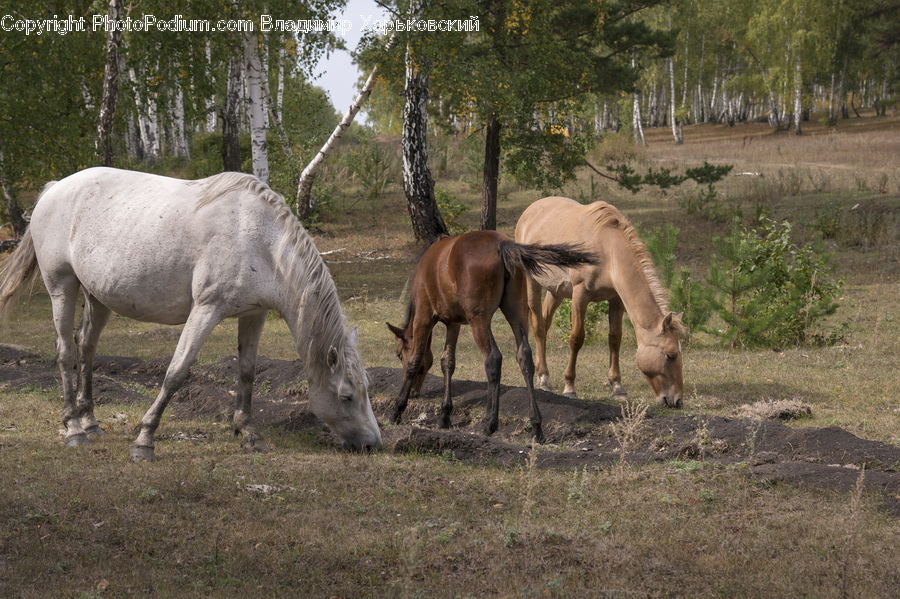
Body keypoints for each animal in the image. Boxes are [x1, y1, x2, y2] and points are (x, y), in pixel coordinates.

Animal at [0, 167, 382, 460]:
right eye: (346, 396)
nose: (373, 444)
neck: (260, 240)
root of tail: (54, 188)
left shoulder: (253, 315)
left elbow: (247, 373)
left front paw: (249, 433)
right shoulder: (206, 310)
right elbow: (176, 372)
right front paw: (144, 440)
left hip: (97, 297)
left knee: (86, 348)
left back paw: (91, 423)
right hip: (61, 286)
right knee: (66, 353)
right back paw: (73, 429)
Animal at [386, 230, 595, 442]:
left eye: (399, 354)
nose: (414, 392)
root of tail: (501, 245)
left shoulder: (424, 316)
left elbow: (415, 360)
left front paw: (398, 409)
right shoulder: (453, 324)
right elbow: (448, 362)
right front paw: (445, 415)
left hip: (479, 320)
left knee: (493, 358)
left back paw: (490, 423)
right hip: (517, 313)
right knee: (525, 357)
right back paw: (536, 425)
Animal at [514, 196, 685, 407]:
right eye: (671, 355)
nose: (677, 400)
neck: (608, 250)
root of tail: (530, 211)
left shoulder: (616, 299)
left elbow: (615, 338)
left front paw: (618, 387)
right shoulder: (580, 295)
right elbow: (576, 338)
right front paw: (569, 387)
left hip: (556, 290)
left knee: (545, 325)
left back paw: (541, 372)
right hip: (533, 281)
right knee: (538, 326)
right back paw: (544, 378)